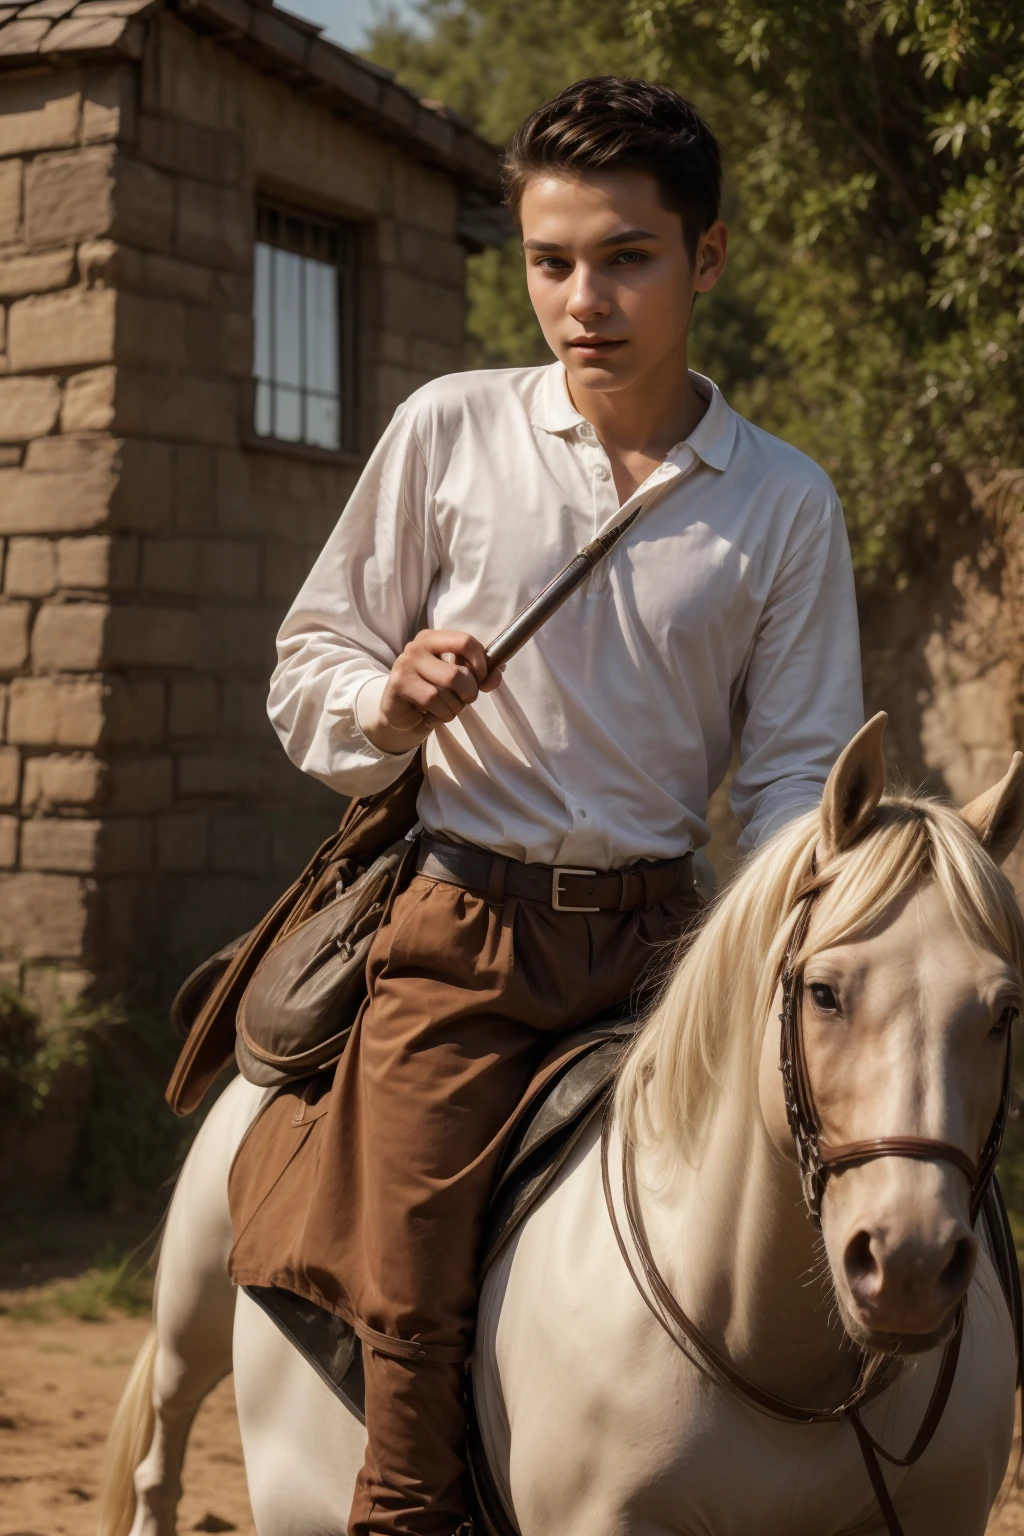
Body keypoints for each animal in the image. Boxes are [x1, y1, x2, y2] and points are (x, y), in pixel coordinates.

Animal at [102, 718, 1024, 1536]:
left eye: (1004, 1012)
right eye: (825, 992)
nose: (909, 1263)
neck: (781, 1366)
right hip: (191, 1318)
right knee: (163, 1448)